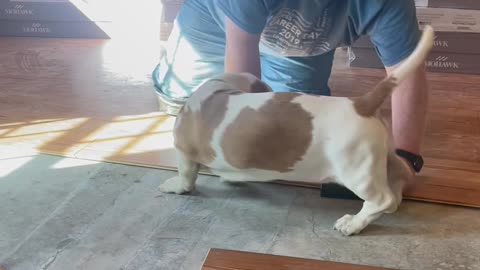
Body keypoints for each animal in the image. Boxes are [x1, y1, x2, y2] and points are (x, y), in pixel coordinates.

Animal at [160, 26, 436, 235]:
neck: (219, 89)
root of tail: (362, 103)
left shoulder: (184, 151)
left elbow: (186, 175)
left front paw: (176, 185)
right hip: (382, 159)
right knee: (396, 187)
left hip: (356, 171)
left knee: (382, 199)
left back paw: (352, 224)